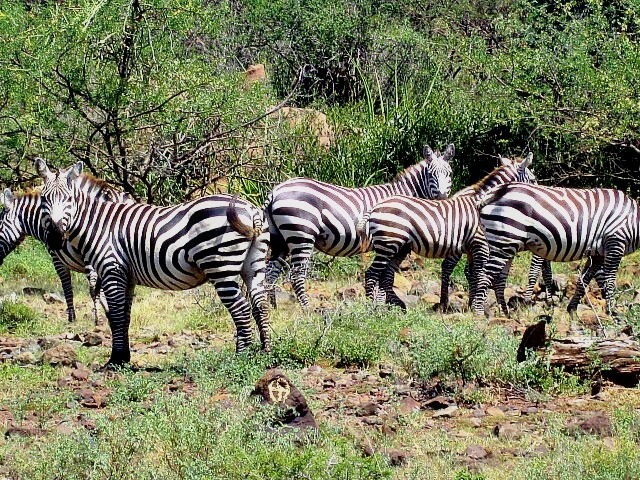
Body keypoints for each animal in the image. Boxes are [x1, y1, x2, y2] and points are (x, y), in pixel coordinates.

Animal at [35, 159, 270, 366]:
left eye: (68, 200)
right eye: (44, 199)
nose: (55, 238)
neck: (99, 224)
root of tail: (250, 209)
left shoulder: (112, 270)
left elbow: (116, 317)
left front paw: (115, 360)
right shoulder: (127, 276)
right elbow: (124, 317)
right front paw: (123, 357)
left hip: (220, 265)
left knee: (241, 308)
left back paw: (241, 355)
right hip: (253, 265)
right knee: (261, 304)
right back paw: (265, 351)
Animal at [264, 142, 456, 308]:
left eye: (449, 174)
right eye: (431, 174)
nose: (441, 197)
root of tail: (275, 191)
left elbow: (384, 276)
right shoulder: (392, 241)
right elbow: (384, 276)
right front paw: (382, 305)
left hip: (281, 239)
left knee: (270, 272)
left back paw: (272, 307)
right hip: (301, 235)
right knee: (296, 275)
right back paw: (306, 308)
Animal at [360, 152, 536, 314]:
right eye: (533, 180)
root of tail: (375, 207)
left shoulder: (472, 249)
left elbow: (473, 275)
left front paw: (472, 305)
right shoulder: (481, 245)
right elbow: (479, 276)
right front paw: (478, 308)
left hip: (399, 247)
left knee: (385, 275)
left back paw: (388, 307)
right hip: (388, 244)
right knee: (371, 274)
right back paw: (372, 307)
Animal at [478, 184, 636, 318]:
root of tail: (491, 194)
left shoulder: (598, 253)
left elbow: (584, 279)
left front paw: (571, 308)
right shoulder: (615, 241)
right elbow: (609, 280)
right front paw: (613, 312)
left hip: (506, 244)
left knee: (499, 279)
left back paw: (505, 314)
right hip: (503, 240)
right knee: (484, 276)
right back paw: (478, 314)